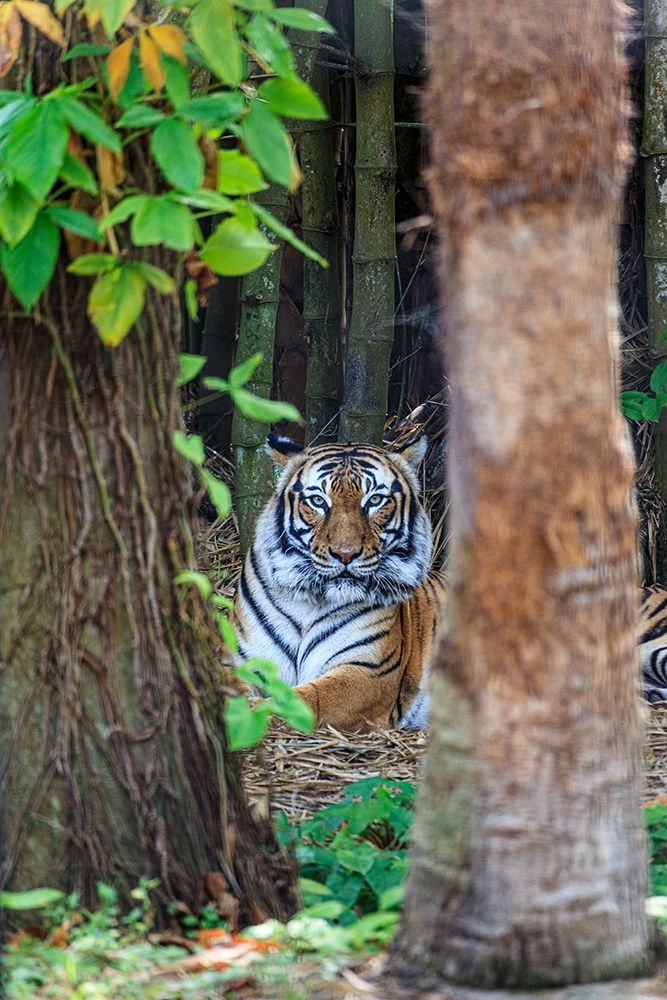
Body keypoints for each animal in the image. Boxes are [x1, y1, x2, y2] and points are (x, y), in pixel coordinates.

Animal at [233, 434, 446, 732]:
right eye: (317, 501)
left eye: (375, 500)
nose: (346, 553)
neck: (308, 602)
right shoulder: (247, 659)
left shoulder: (365, 671)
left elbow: (303, 700)